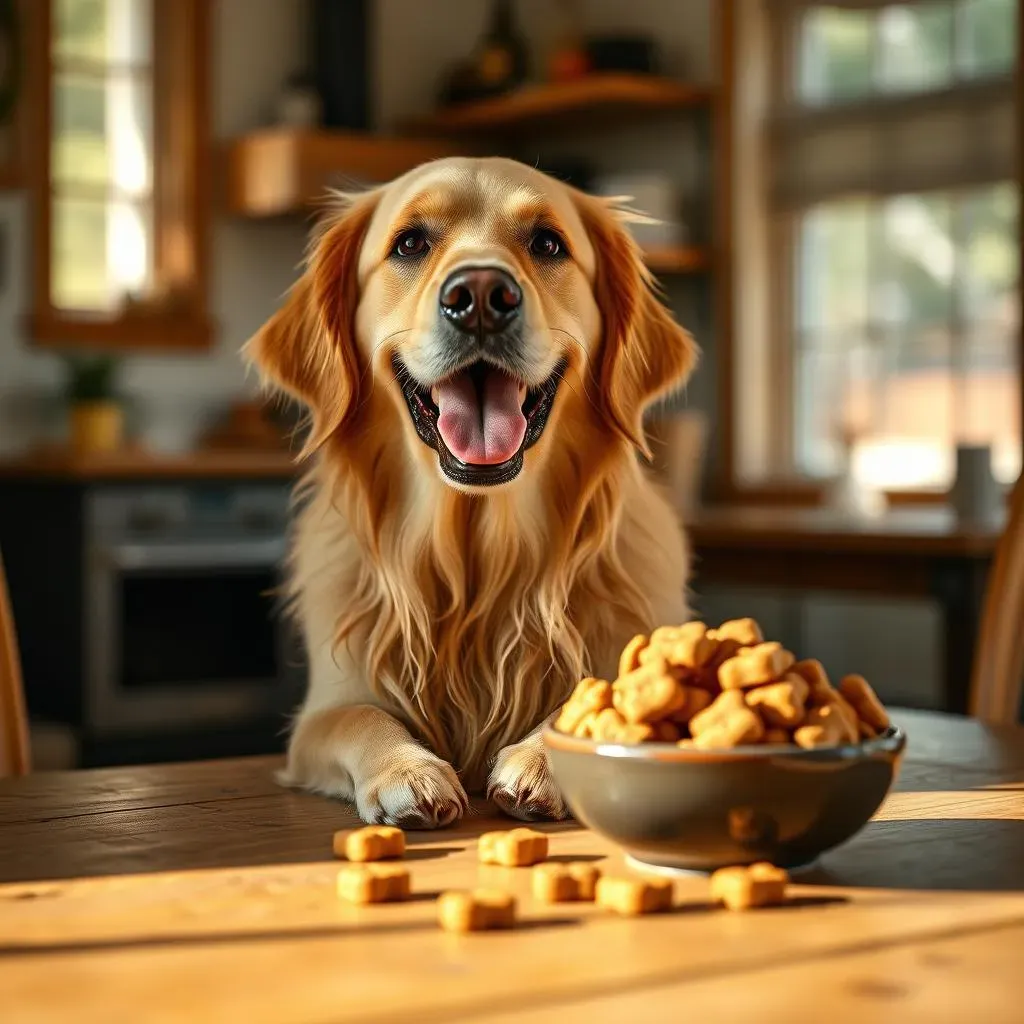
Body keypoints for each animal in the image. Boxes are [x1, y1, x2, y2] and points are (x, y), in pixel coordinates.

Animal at [246, 155, 696, 827]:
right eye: (410, 243)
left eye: (547, 243)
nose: (481, 295)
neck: (479, 560)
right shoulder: (322, 714)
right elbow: (361, 716)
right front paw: (406, 771)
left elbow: (591, 697)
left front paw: (537, 761)